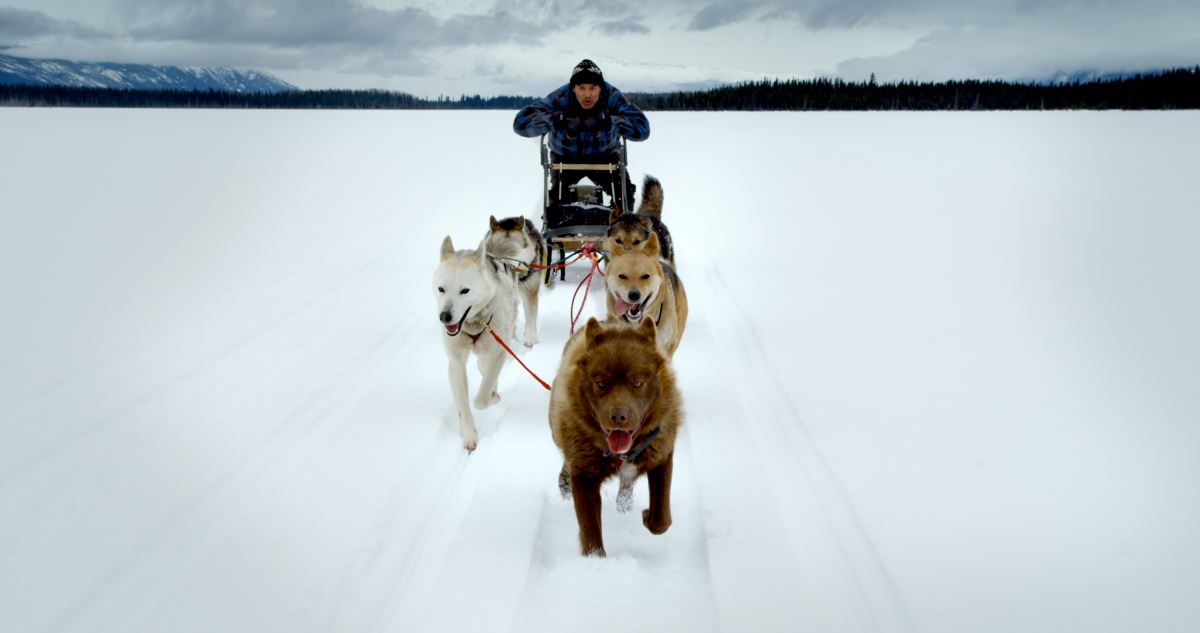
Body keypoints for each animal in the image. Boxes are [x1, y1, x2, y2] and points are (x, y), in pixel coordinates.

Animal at [436, 232, 520, 450]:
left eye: (464, 290)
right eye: (441, 289)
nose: (444, 316)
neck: (473, 322)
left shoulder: (499, 352)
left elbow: (480, 399)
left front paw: (491, 398)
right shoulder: (455, 361)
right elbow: (463, 404)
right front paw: (468, 434)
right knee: (482, 366)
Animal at [549, 318, 681, 556]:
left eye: (637, 383)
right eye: (602, 383)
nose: (618, 416)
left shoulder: (662, 455)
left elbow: (661, 519)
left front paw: (647, 515)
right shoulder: (584, 477)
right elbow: (591, 534)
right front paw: (596, 562)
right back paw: (564, 485)